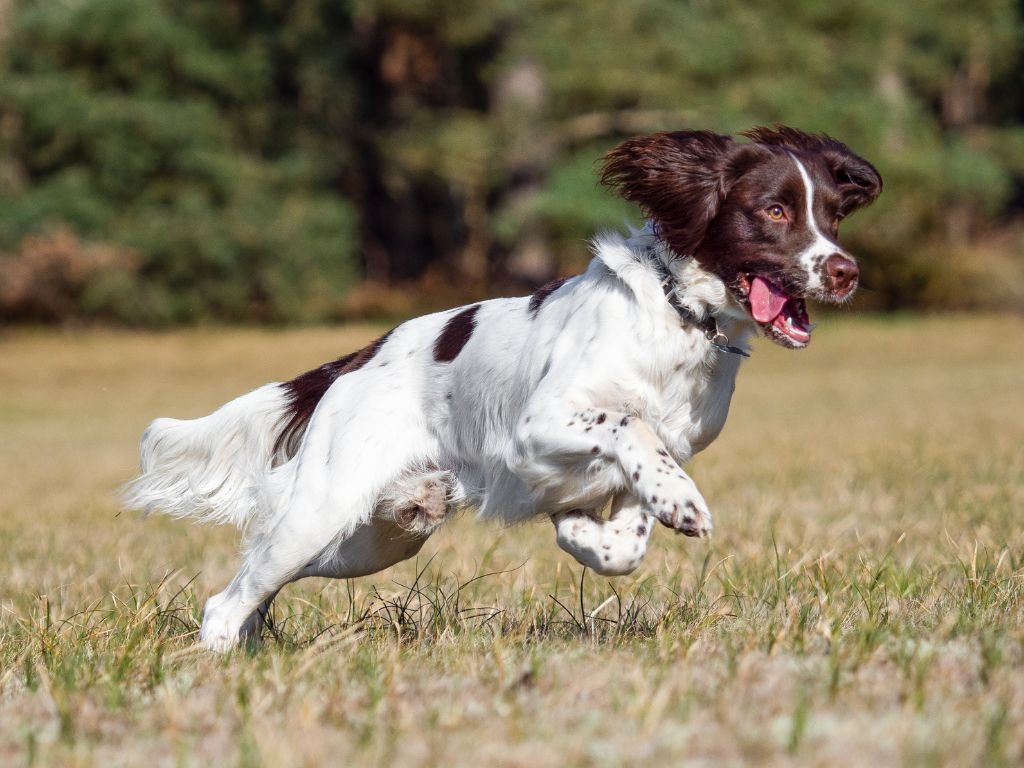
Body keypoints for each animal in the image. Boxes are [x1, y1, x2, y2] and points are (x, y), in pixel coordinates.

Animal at [123, 126, 880, 651]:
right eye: (774, 211)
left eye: (834, 216)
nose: (846, 272)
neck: (678, 320)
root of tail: (358, 360)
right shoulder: (537, 426)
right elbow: (630, 426)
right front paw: (681, 505)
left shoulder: (667, 447)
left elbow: (629, 526)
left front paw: (593, 534)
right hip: (321, 510)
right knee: (230, 596)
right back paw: (217, 662)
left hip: (372, 540)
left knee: (256, 581)